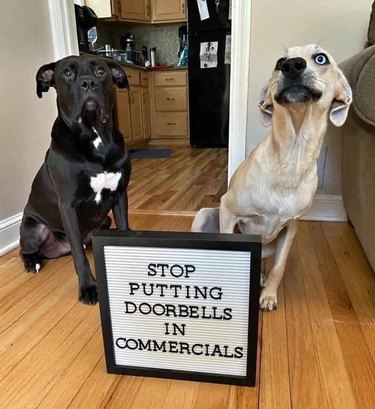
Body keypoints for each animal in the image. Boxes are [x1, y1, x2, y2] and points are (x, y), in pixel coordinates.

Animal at [20, 55, 132, 302]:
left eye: (101, 71)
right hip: (33, 230)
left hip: (104, 219)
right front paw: (88, 287)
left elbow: (124, 229)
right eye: (68, 74)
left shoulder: (119, 195)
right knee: (26, 251)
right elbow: (80, 257)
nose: (88, 83)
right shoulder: (68, 206)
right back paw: (32, 262)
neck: (94, 135)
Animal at [194, 44, 352, 310]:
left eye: (321, 58)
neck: (291, 157)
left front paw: (268, 295)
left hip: (268, 245)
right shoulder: (228, 210)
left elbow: (279, 267)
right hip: (204, 216)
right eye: (279, 61)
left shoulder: (290, 229)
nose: (292, 66)